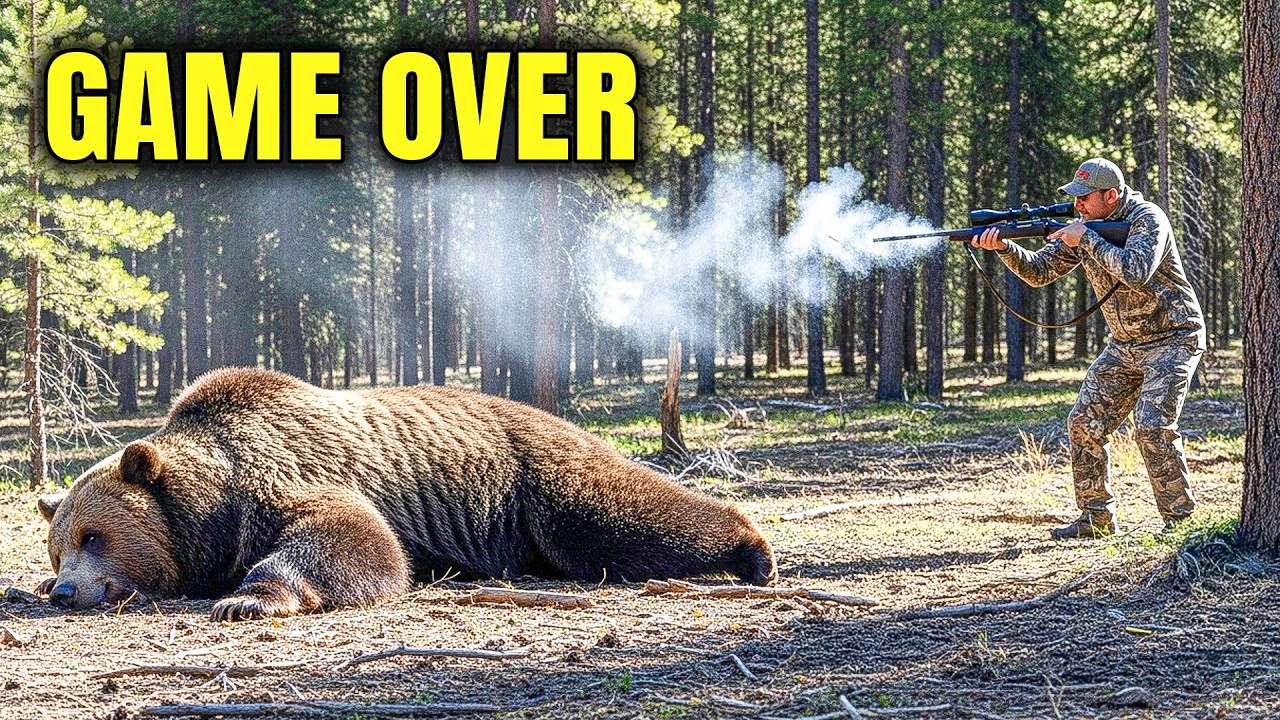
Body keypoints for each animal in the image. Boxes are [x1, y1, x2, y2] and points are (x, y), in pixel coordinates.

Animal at [36, 368, 776, 620]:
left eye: (95, 535)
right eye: (57, 549)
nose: (66, 589)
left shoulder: (284, 478)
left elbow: (355, 538)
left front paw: (249, 598)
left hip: (536, 478)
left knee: (619, 516)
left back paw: (755, 551)